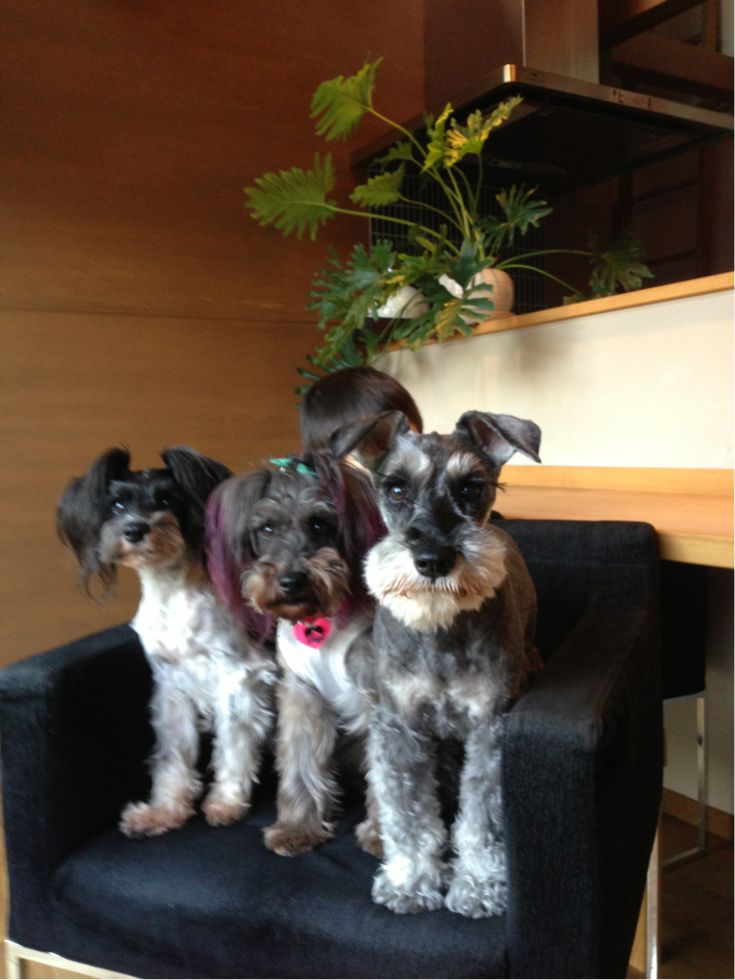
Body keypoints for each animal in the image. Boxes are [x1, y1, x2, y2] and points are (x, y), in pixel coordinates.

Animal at [57, 445, 276, 837]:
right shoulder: (172, 687)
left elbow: (233, 744)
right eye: (117, 505)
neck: (172, 593)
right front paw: (164, 811)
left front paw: (226, 803)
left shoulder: (239, 676)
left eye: (166, 499)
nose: (135, 528)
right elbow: (174, 755)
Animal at [206, 452, 385, 857]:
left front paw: (385, 836)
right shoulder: (301, 694)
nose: (290, 581)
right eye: (267, 529)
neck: (319, 621)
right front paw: (297, 827)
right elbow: (301, 763)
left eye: (319, 523)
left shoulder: (379, 700)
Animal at [330, 409, 542, 918]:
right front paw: (409, 882)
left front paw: (480, 885)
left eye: (472, 487)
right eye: (396, 488)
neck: (441, 629)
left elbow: (484, 816)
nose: (432, 559)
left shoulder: (491, 727)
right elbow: (408, 812)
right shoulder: (399, 725)